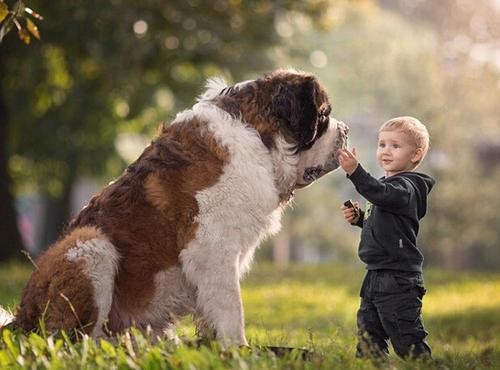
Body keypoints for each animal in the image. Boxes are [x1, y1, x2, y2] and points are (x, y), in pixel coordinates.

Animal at [0, 70, 348, 346]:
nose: (345, 130)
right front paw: (239, 350)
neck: (258, 136)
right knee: (75, 339)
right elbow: (231, 308)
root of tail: (21, 317)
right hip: (90, 244)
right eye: (323, 116)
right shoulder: (212, 250)